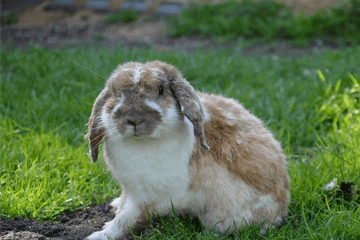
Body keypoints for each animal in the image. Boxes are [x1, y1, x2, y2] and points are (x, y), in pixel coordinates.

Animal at [86, 60, 292, 240]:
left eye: (161, 90)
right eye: (115, 92)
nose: (134, 119)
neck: (142, 143)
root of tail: (283, 205)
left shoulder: (147, 197)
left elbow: (125, 218)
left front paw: (99, 235)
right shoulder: (132, 190)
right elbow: (123, 207)